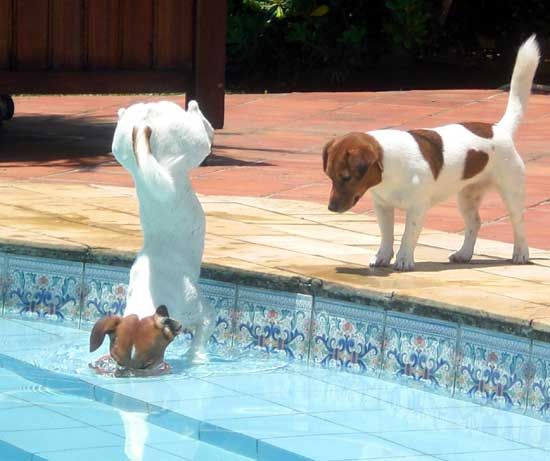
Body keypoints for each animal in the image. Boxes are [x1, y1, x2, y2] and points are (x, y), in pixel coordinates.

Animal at [103, 99, 216, 364]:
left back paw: (195, 106)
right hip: (125, 146)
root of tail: (146, 117)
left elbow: (200, 336)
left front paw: (195, 358)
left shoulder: (202, 313)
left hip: (193, 143)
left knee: (202, 129)